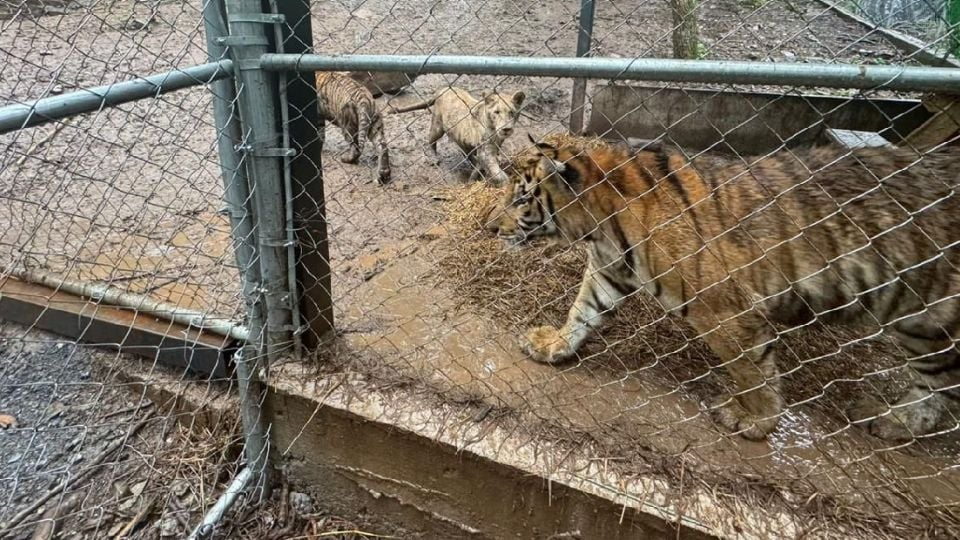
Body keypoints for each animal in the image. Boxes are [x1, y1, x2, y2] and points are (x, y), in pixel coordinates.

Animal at [390, 87, 525, 185]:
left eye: (512, 112)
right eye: (496, 112)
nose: (506, 129)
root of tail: (443, 89)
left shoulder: (492, 146)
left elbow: (481, 166)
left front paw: (474, 177)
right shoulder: (485, 150)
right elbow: (496, 171)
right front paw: (507, 183)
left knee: (466, 152)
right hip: (437, 127)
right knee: (430, 141)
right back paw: (434, 158)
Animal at [497, 135, 960, 441]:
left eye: (520, 200)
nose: (490, 227)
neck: (601, 223)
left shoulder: (725, 311)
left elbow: (750, 369)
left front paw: (756, 422)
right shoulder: (609, 271)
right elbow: (583, 310)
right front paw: (555, 345)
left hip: (930, 321)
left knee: (939, 388)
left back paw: (896, 422)